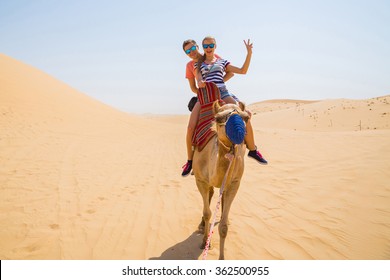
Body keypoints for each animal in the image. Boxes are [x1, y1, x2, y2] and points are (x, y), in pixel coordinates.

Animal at [193, 99, 250, 260]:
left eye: (246, 118)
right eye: (218, 119)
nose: (238, 133)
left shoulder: (234, 183)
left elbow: (223, 227)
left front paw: (222, 258)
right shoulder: (201, 180)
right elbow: (207, 213)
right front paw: (205, 242)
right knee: (211, 195)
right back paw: (201, 225)